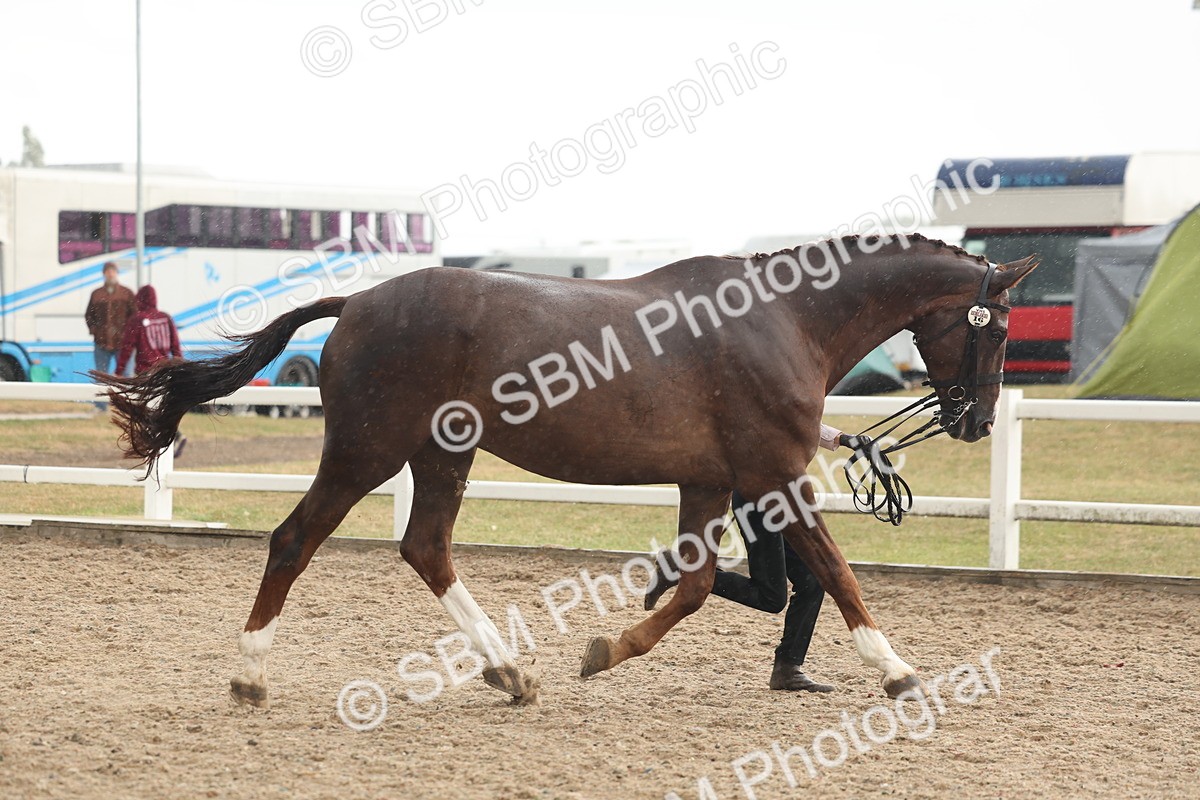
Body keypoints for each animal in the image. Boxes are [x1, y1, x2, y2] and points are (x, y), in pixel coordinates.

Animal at [95, 233, 1037, 709]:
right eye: (995, 327)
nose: (978, 420)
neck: (782, 319)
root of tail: (356, 300)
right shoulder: (774, 473)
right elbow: (837, 573)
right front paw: (899, 671)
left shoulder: (710, 482)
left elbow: (699, 585)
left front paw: (608, 648)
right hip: (369, 451)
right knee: (295, 540)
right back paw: (250, 676)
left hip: (442, 454)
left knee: (426, 548)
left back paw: (510, 672)